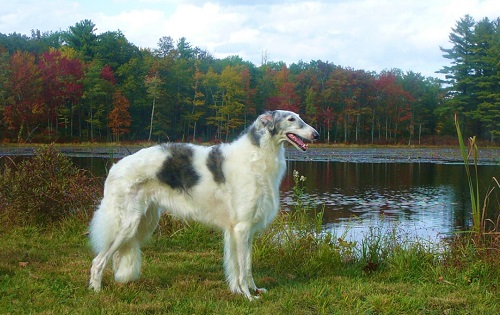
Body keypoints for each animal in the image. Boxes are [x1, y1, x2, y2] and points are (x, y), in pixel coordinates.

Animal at [88, 110, 318, 302]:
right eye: (291, 119)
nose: (316, 135)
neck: (257, 157)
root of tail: (115, 167)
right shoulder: (242, 227)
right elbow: (243, 269)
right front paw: (248, 296)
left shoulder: (244, 229)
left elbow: (245, 265)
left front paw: (251, 290)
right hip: (127, 223)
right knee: (98, 261)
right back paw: (96, 291)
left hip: (143, 221)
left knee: (115, 255)